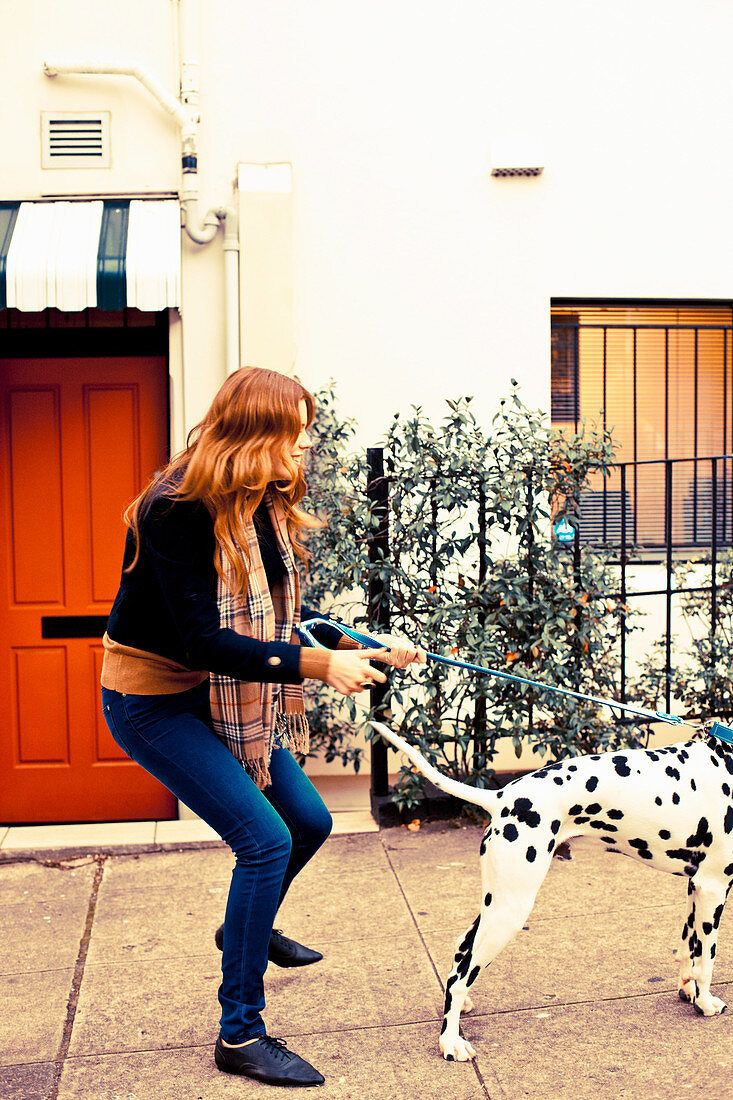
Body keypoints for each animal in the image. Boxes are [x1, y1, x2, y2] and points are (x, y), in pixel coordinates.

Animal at [372, 717, 730, 1060]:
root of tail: (502, 798)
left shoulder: (695, 887)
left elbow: (688, 946)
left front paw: (688, 990)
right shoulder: (713, 888)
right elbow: (707, 956)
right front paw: (704, 1003)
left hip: (497, 904)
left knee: (462, 950)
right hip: (509, 911)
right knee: (459, 978)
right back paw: (450, 1043)